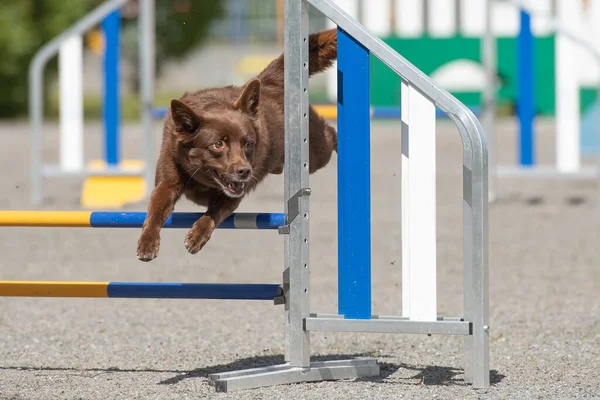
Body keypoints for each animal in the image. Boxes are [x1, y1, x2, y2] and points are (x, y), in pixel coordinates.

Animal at [137, 27, 340, 260]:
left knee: (331, 134)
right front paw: (147, 242)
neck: (202, 178)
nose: (245, 171)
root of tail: (268, 81)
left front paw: (197, 236)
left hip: (315, 153)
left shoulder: (234, 195)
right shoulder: (168, 177)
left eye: (248, 144)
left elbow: (214, 212)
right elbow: (155, 208)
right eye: (218, 144)